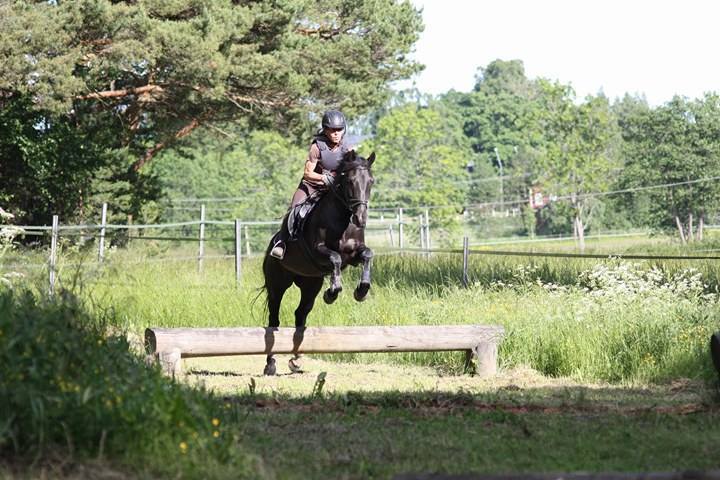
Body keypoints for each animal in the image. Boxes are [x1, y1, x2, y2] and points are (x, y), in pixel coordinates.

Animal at [262, 150, 376, 376]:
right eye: (350, 181)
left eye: (371, 182)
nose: (361, 219)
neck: (343, 218)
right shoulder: (318, 251)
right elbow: (335, 258)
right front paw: (332, 293)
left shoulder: (354, 254)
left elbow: (367, 254)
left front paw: (361, 291)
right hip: (277, 284)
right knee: (274, 319)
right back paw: (270, 365)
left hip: (310, 284)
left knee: (301, 314)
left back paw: (295, 360)